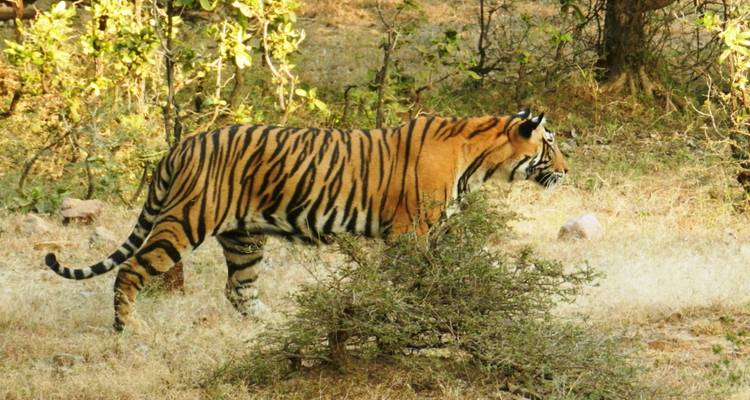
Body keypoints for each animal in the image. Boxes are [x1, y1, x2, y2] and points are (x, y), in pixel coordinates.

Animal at [44, 109, 568, 331]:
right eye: (550, 145)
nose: (567, 171)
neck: (479, 159)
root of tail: (183, 143)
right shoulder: (410, 231)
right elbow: (410, 281)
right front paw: (409, 313)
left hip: (244, 238)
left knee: (239, 290)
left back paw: (275, 326)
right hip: (186, 221)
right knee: (131, 271)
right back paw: (128, 329)